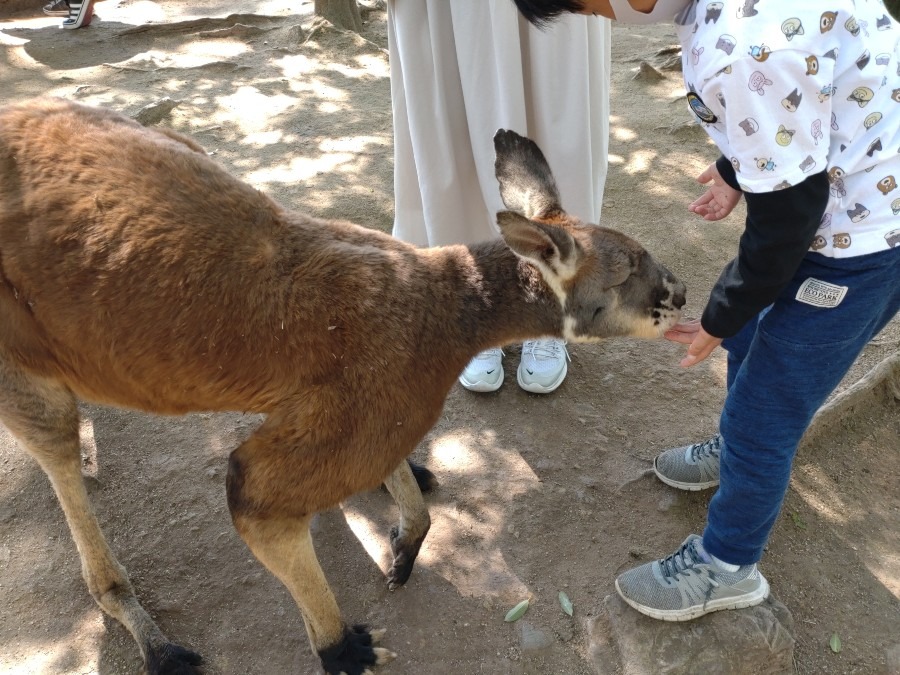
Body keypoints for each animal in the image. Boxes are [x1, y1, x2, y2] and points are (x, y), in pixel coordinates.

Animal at [0, 96, 684, 675]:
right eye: (628, 273)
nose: (680, 293)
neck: (446, 305)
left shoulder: (377, 404)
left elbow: (409, 506)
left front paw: (405, 538)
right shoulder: (368, 399)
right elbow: (257, 499)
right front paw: (340, 646)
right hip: (21, 363)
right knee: (63, 464)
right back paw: (155, 641)